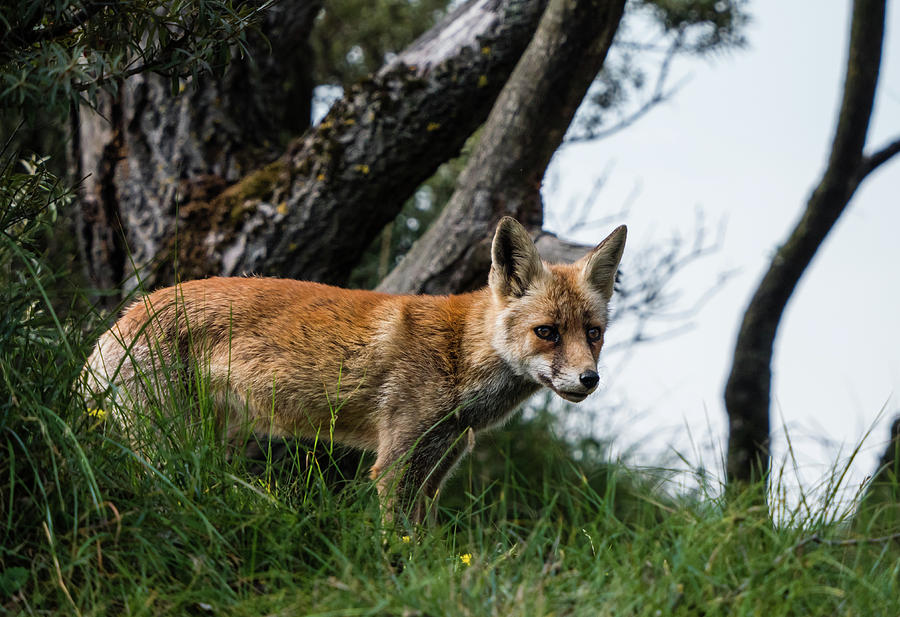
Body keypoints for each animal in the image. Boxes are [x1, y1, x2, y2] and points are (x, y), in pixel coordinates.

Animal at [84, 217, 624, 520]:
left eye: (593, 333)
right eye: (547, 332)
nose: (589, 380)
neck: (458, 356)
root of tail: (121, 318)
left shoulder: (436, 468)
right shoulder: (396, 464)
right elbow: (397, 547)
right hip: (165, 440)